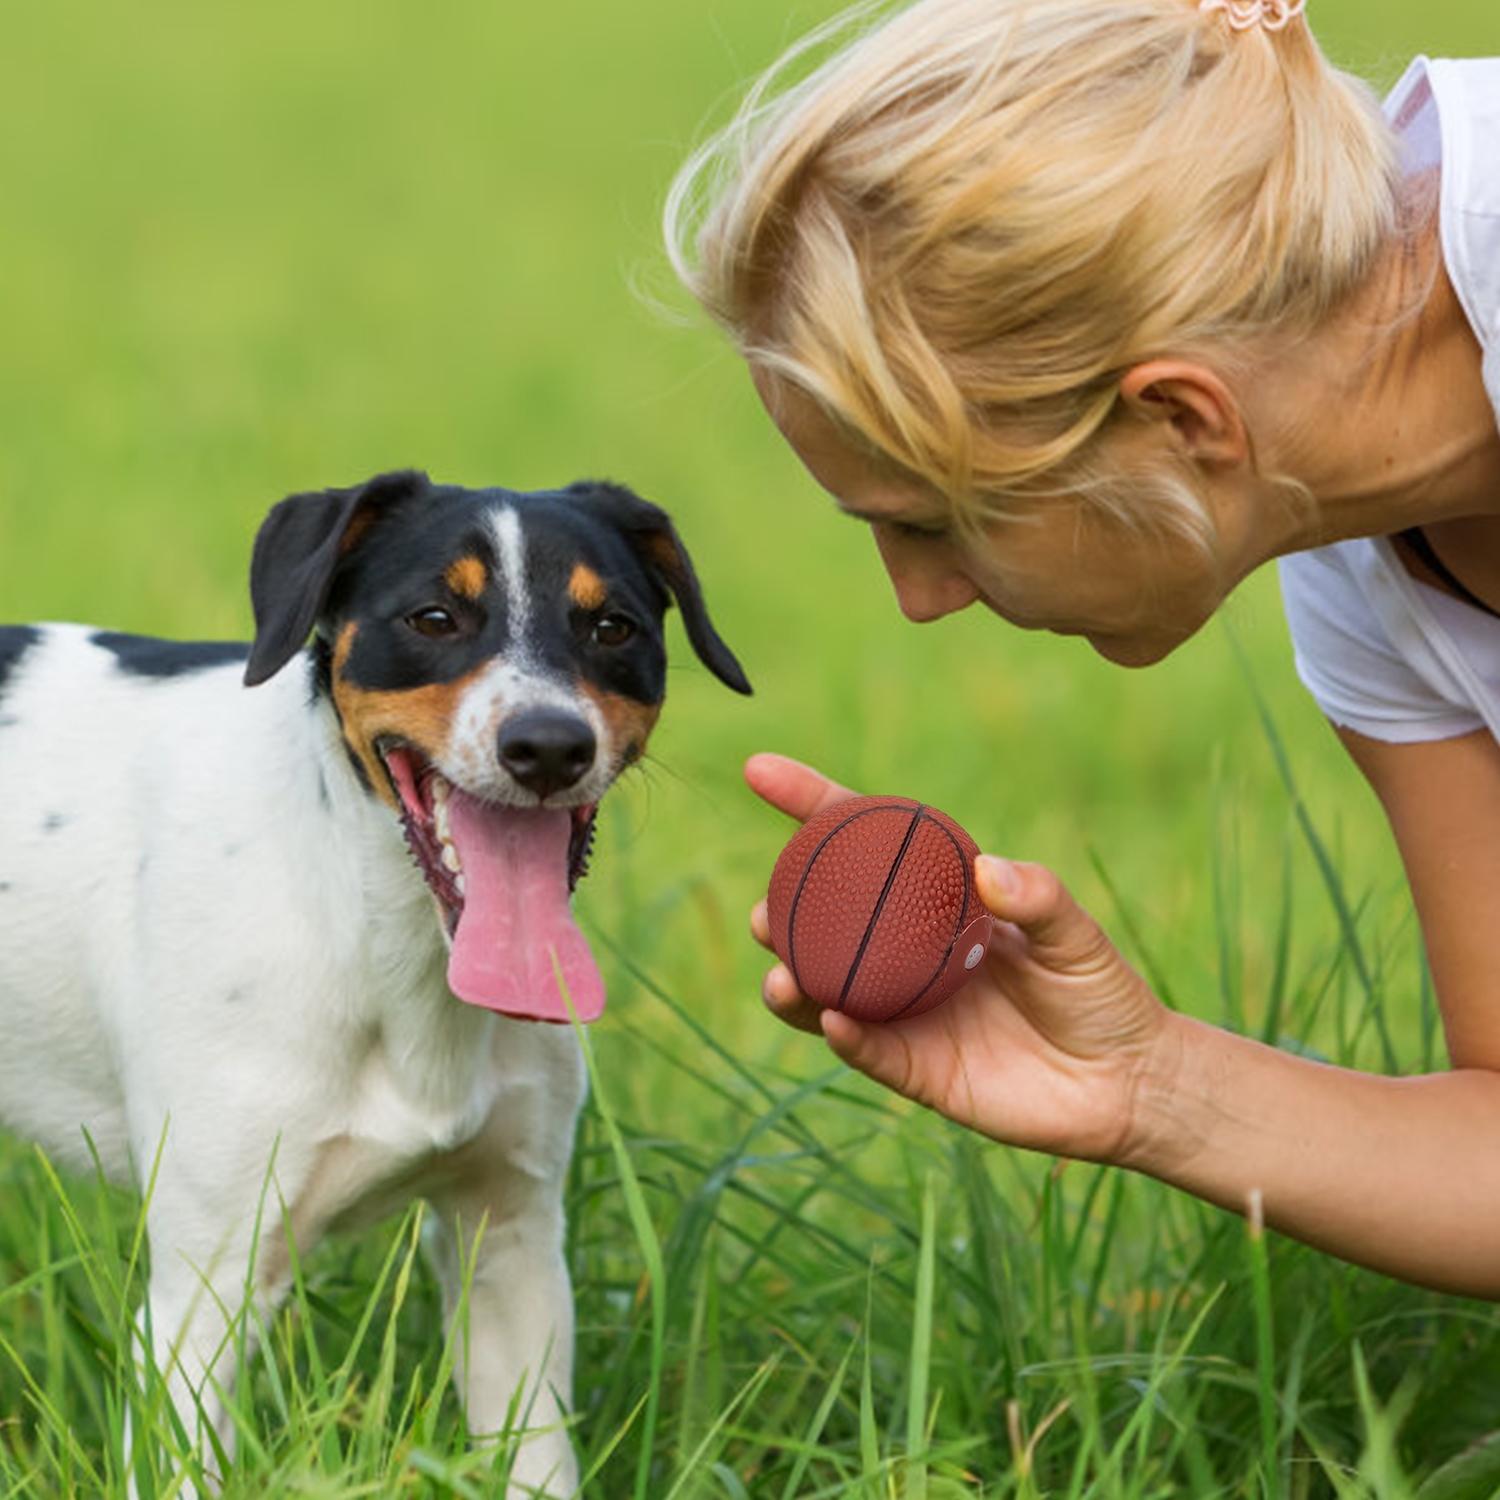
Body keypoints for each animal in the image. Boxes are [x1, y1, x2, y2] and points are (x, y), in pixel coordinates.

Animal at [0, 468, 750, 1488]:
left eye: (613, 627)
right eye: (433, 617)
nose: (550, 746)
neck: (393, 956)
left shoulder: (509, 1245)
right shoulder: (201, 1295)